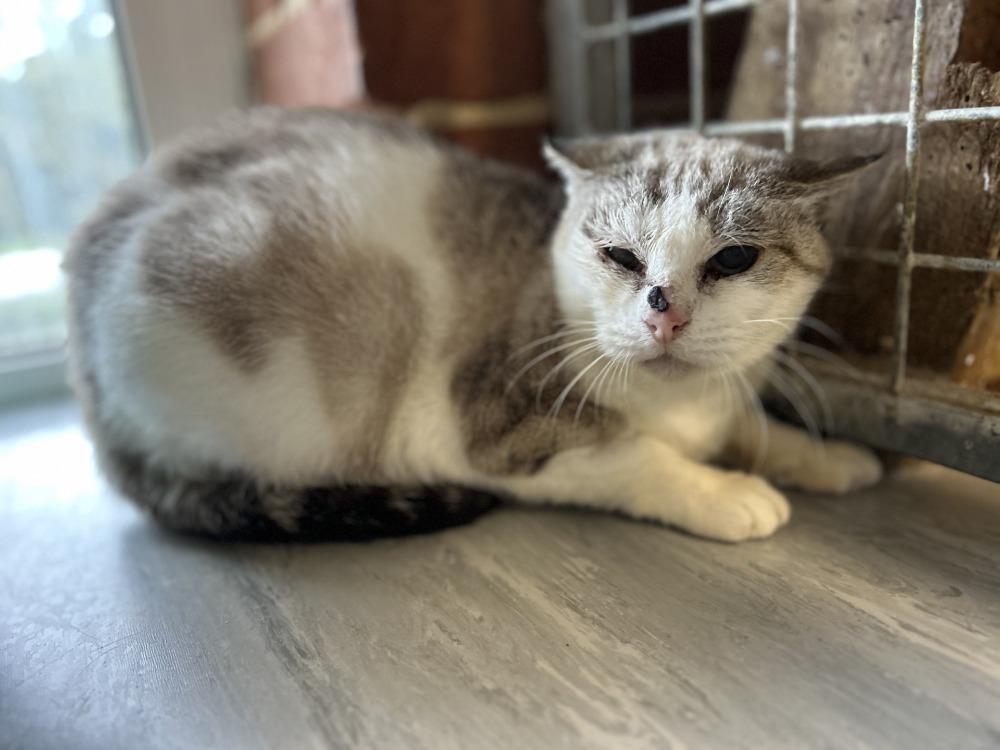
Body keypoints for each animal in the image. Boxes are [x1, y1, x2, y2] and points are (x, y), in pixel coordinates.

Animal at [64, 107, 883, 543]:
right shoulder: (495, 436)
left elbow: (759, 427)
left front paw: (833, 459)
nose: (666, 314)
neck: (682, 406)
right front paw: (729, 492)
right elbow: (643, 457)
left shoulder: (727, 393)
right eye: (620, 256)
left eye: (735, 258)